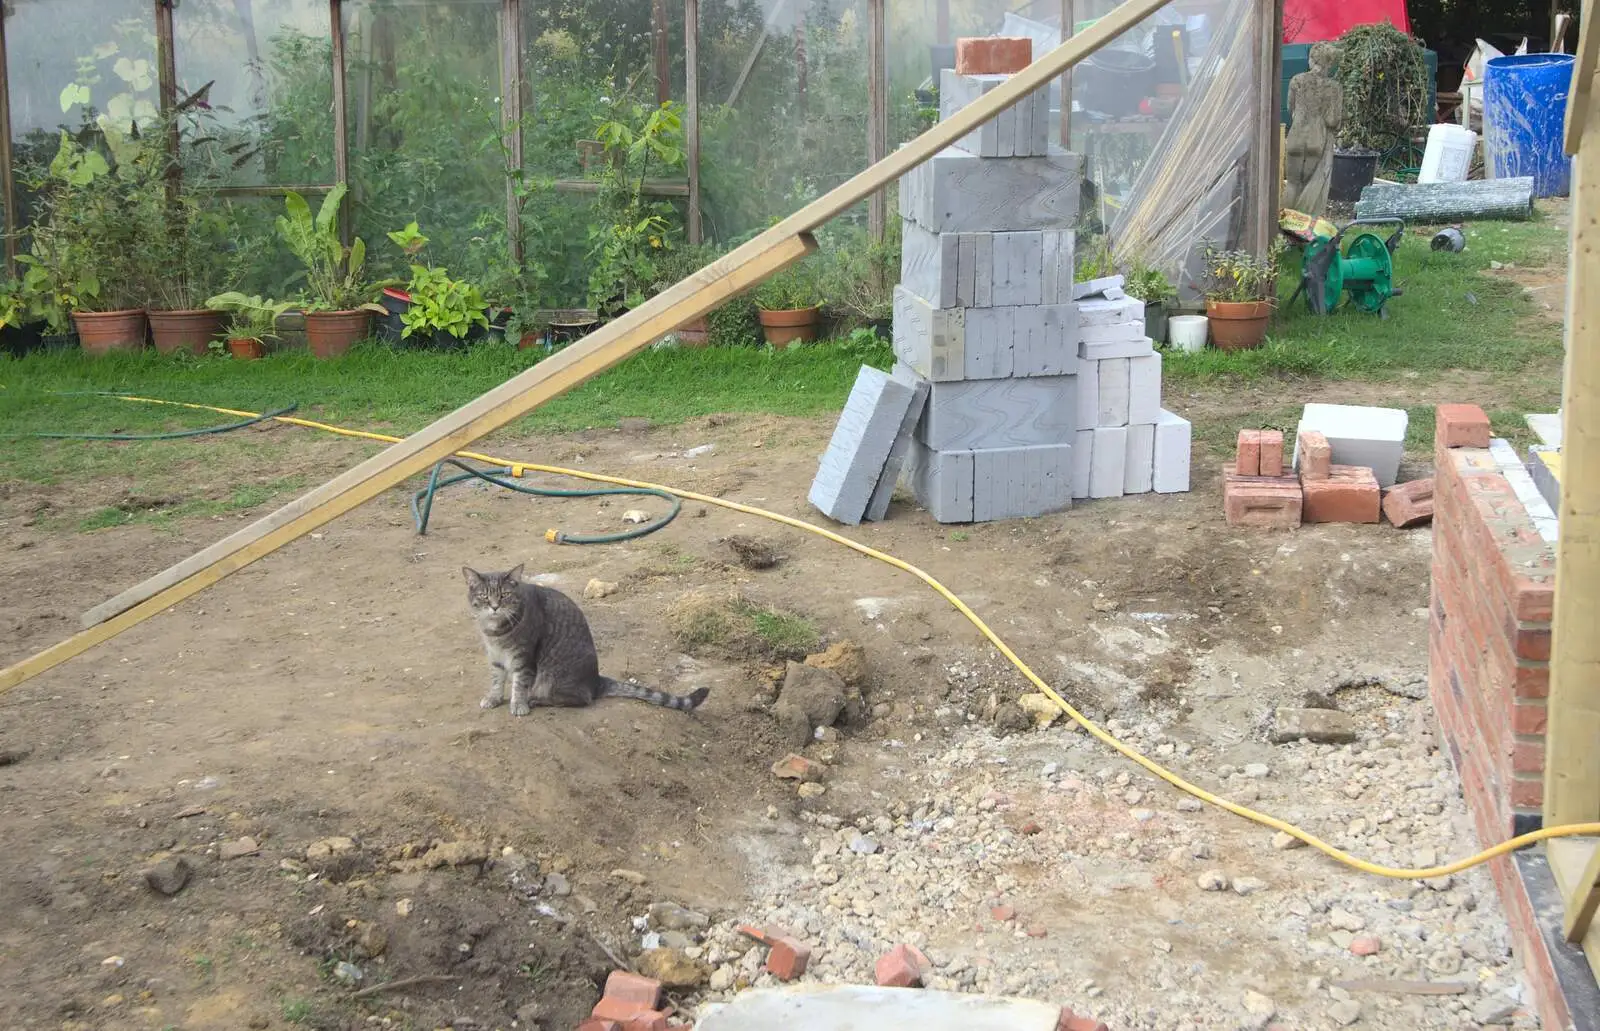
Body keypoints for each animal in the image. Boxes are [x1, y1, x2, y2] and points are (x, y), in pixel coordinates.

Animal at [467, 563, 710, 717]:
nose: (494, 606)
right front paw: (493, 698)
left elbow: (519, 684)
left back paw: (538, 699)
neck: (495, 631)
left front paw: (518, 704)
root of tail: (596, 680)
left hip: (555, 678)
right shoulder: (495, 657)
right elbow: (497, 680)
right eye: (484, 596)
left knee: (581, 699)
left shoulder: (524, 659)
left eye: (504, 595)